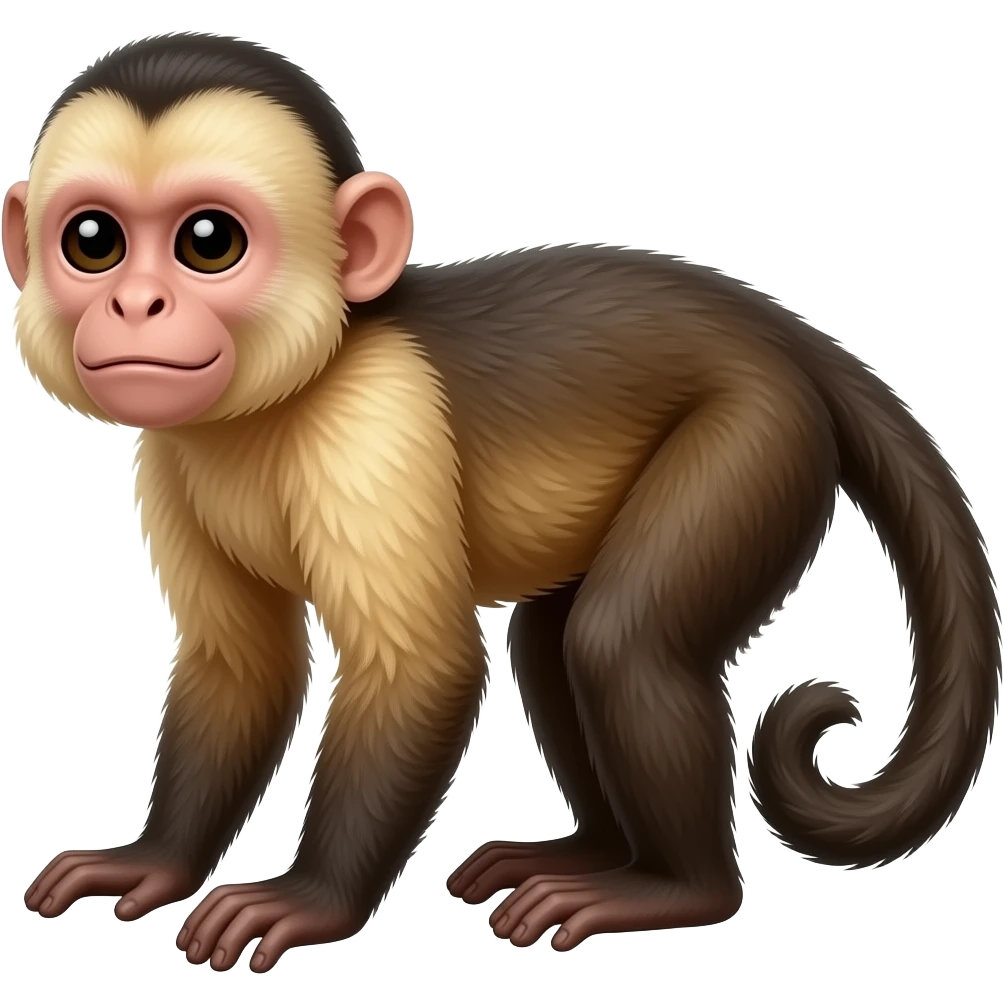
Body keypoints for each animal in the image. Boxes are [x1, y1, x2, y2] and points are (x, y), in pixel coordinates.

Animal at [7, 31, 1001, 972]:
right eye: (93, 241)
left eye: (208, 242)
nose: (137, 304)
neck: (280, 395)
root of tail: (777, 328)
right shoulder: (166, 454)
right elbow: (238, 668)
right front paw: (156, 862)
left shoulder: (374, 422)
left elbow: (422, 669)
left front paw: (309, 901)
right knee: (556, 642)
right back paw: (592, 852)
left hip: (760, 436)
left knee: (619, 640)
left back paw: (674, 888)